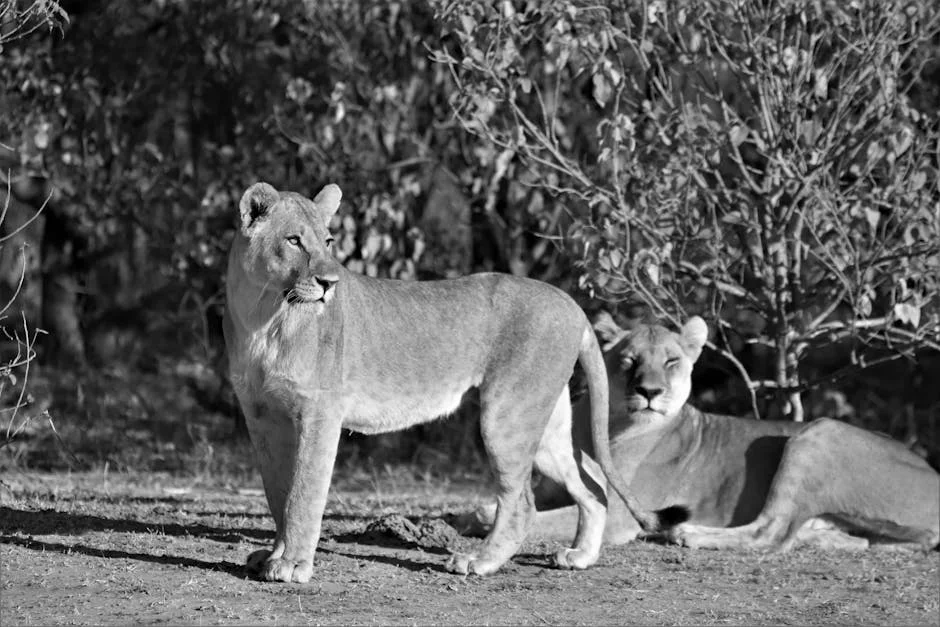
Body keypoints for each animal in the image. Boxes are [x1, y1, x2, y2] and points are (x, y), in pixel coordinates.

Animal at [222, 182, 681, 583]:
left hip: (506, 415)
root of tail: (571, 303)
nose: (329, 283)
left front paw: (292, 566)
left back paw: (480, 563)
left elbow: (303, 493)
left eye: (329, 241)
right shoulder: (262, 418)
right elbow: (278, 492)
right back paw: (580, 556)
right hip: (546, 425)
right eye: (294, 241)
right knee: (593, 487)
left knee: (523, 501)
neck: (263, 314)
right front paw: (273, 555)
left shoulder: (320, 414)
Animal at [457, 315, 940, 552]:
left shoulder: (621, 515)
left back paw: (686, 534)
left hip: (818, 435)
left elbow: (532, 517)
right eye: (630, 359)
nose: (650, 392)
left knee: (771, 533)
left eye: (672, 361)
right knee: (825, 538)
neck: (607, 421)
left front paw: (481, 517)